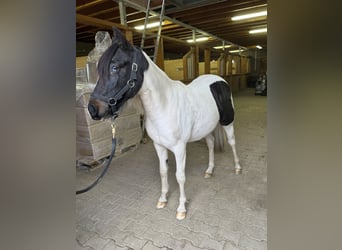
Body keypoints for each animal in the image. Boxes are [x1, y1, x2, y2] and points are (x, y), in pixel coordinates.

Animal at [89, 26, 242, 219]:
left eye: (115, 67)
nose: (92, 109)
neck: (164, 105)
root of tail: (219, 80)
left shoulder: (179, 148)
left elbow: (180, 176)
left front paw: (181, 209)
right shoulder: (159, 146)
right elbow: (163, 172)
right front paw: (162, 199)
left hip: (228, 122)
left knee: (232, 142)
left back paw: (237, 168)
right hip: (206, 129)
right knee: (211, 144)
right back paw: (209, 171)